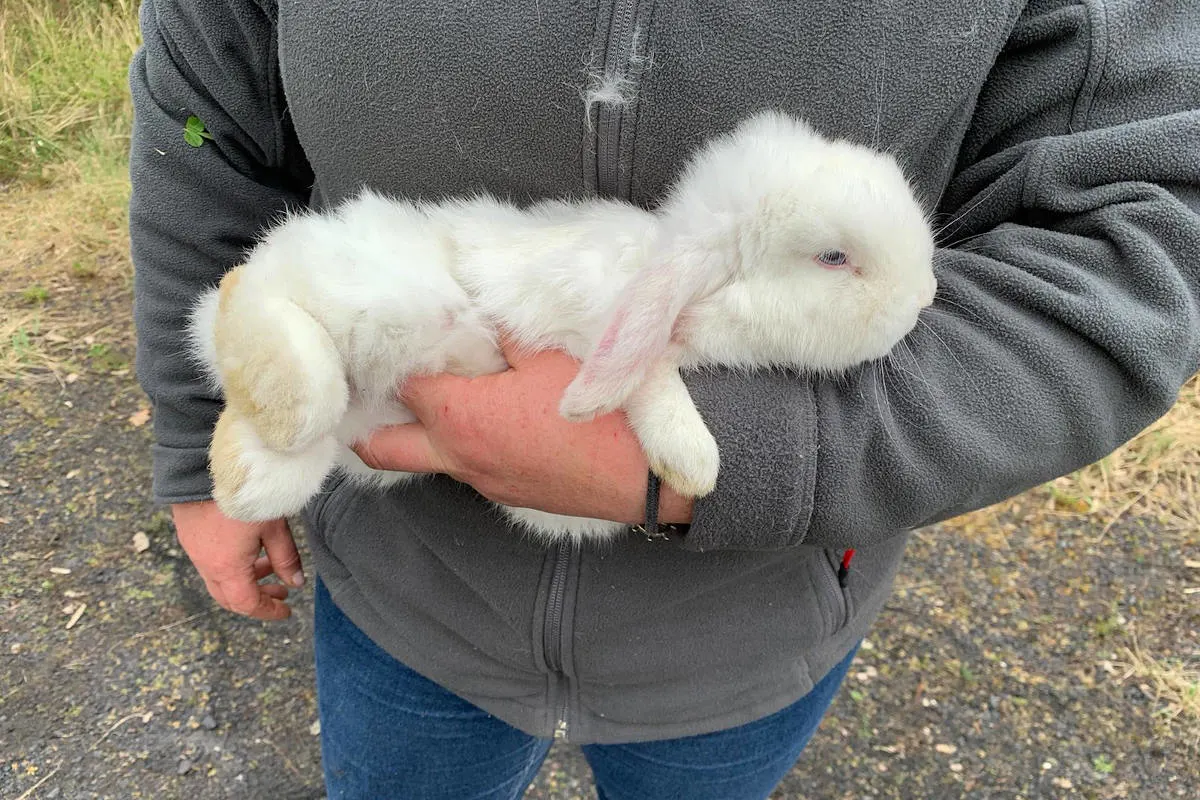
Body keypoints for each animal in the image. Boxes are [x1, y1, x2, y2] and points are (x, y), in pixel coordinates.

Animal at [188, 110, 937, 543]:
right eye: (835, 258)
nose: (926, 296)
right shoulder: (598, 320)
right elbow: (649, 381)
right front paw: (694, 461)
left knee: (265, 452)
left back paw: (239, 480)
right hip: (360, 303)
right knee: (250, 308)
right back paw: (279, 402)